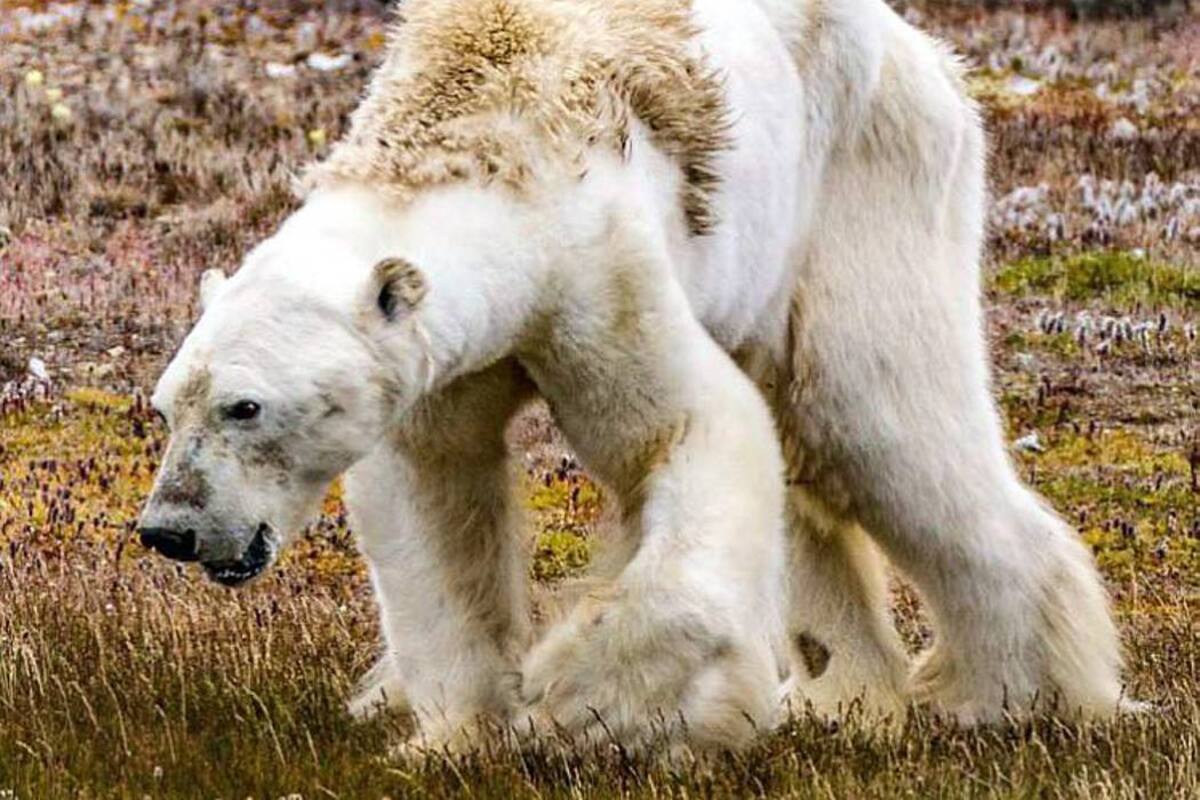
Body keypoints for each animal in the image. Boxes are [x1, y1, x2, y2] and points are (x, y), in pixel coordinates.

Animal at [139, 0, 1130, 753]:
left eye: (245, 406)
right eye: (166, 406)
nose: (169, 529)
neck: (480, 124)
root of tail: (923, 52)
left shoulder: (596, 267)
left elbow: (689, 431)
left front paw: (586, 701)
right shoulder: (441, 362)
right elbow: (435, 500)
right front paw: (454, 733)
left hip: (862, 181)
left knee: (876, 420)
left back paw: (1014, 697)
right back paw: (844, 696)